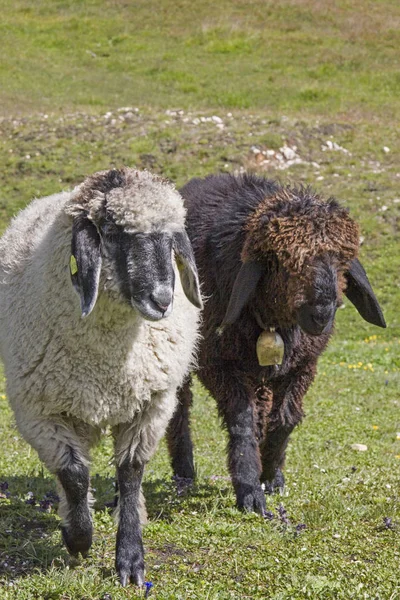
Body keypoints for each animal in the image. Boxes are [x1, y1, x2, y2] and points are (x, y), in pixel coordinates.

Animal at [0, 168, 202, 584]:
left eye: (172, 237)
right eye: (113, 231)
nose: (163, 300)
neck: (107, 361)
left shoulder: (151, 405)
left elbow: (130, 471)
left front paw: (130, 558)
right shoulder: (39, 413)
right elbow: (74, 474)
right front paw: (78, 538)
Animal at [166, 171, 384, 512]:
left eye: (341, 261)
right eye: (283, 261)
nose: (322, 312)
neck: (275, 322)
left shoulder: (303, 365)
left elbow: (284, 420)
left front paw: (270, 477)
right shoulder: (217, 363)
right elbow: (242, 419)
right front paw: (249, 491)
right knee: (180, 408)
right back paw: (183, 473)